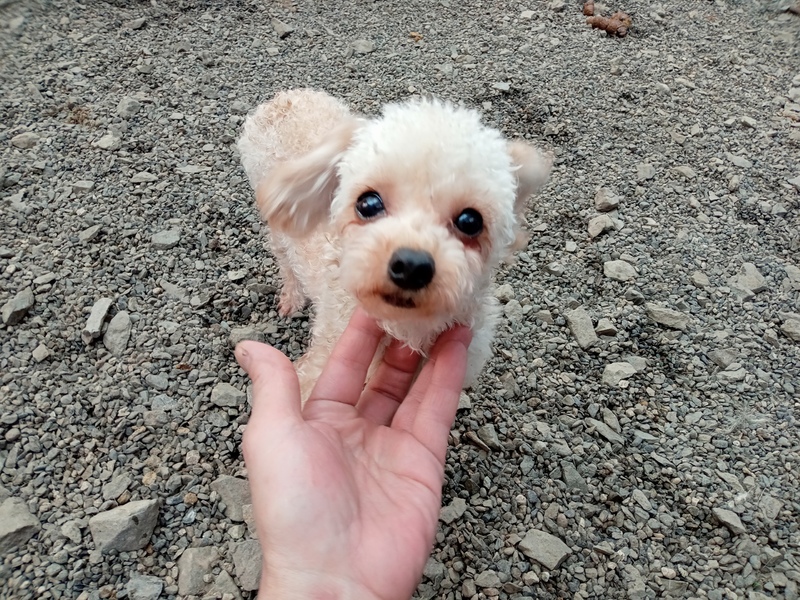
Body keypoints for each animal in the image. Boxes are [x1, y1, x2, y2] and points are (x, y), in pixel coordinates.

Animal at [237, 89, 552, 401]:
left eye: (470, 221)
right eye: (368, 203)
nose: (411, 265)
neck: (407, 329)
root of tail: (287, 97)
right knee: (285, 261)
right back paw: (292, 296)